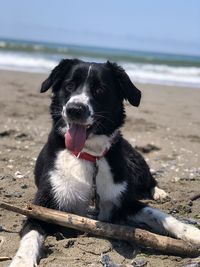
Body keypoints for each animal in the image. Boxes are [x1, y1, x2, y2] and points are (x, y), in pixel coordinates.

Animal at [9, 59, 200, 266]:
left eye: (100, 89)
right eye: (69, 86)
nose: (75, 109)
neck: (88, 155)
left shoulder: (124, 202)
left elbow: (158, 214)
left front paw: (192, 232)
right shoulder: (42, 206)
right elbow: (31, 235)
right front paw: (22, 261)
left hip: (135, 163)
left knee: (150, 180)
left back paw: (159, 192)